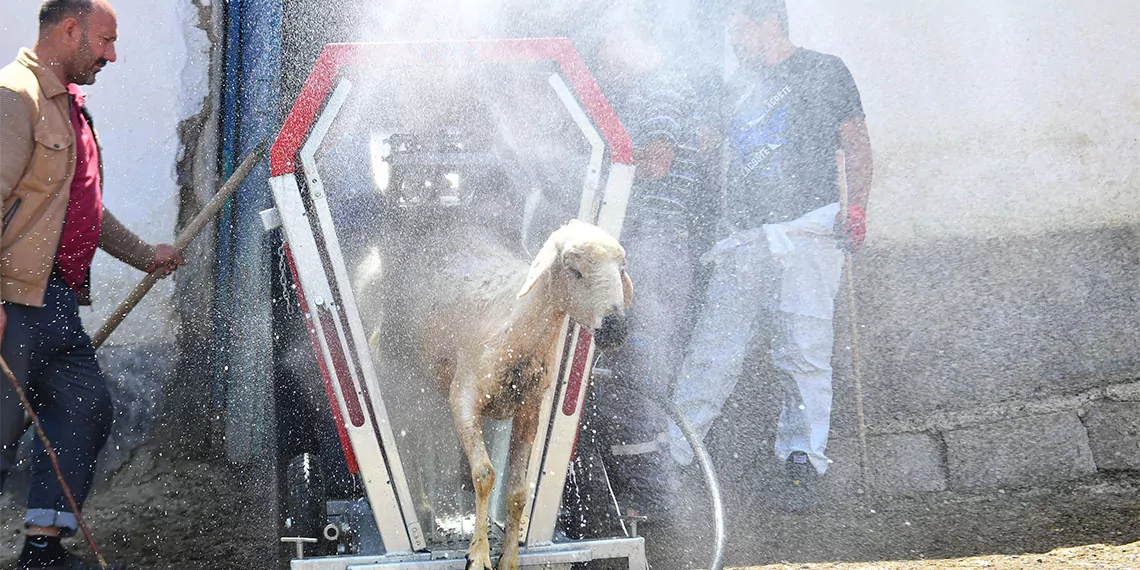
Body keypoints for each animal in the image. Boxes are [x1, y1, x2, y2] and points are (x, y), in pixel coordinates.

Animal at [376, 215, 633, 567]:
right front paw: (479, 553)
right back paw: (424, 505)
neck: (516, 331)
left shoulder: (529, 411)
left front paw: (509, 557)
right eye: (573, 268)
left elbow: (518, 492)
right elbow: (484, 475)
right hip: (404, 368)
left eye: (621, 268)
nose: (615, 329)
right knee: (410, 435)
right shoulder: (463, 397)